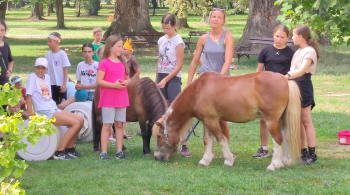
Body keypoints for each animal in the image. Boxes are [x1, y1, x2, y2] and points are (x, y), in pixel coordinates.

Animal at [152, 71, 300, 170]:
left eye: (159, 136)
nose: (156, 157)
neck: (198, 91)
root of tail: (286, 81)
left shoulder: (212, 120)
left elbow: (221, 139)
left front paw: (228, 160)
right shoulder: (206, 121)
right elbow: (207, 140)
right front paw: (205, 160)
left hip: (271, 120)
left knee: (278, 139)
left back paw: (274, 165)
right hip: (282, 119)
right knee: (286, 137)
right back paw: (284, 162)